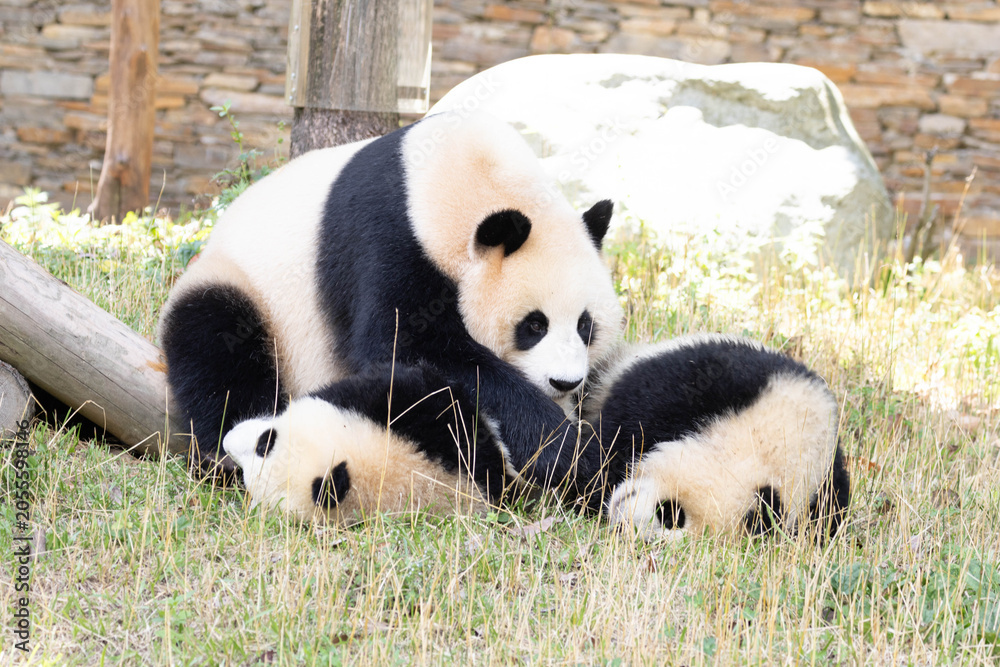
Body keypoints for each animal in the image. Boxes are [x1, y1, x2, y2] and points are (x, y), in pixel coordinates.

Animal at [158, 111, 622, 494]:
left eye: (586, 325)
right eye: (534, 325)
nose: (565, 383)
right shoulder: (388, 241)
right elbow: (404, 347)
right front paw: (567, 453)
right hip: (242, 283)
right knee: (215, 343)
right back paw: (227, 452)